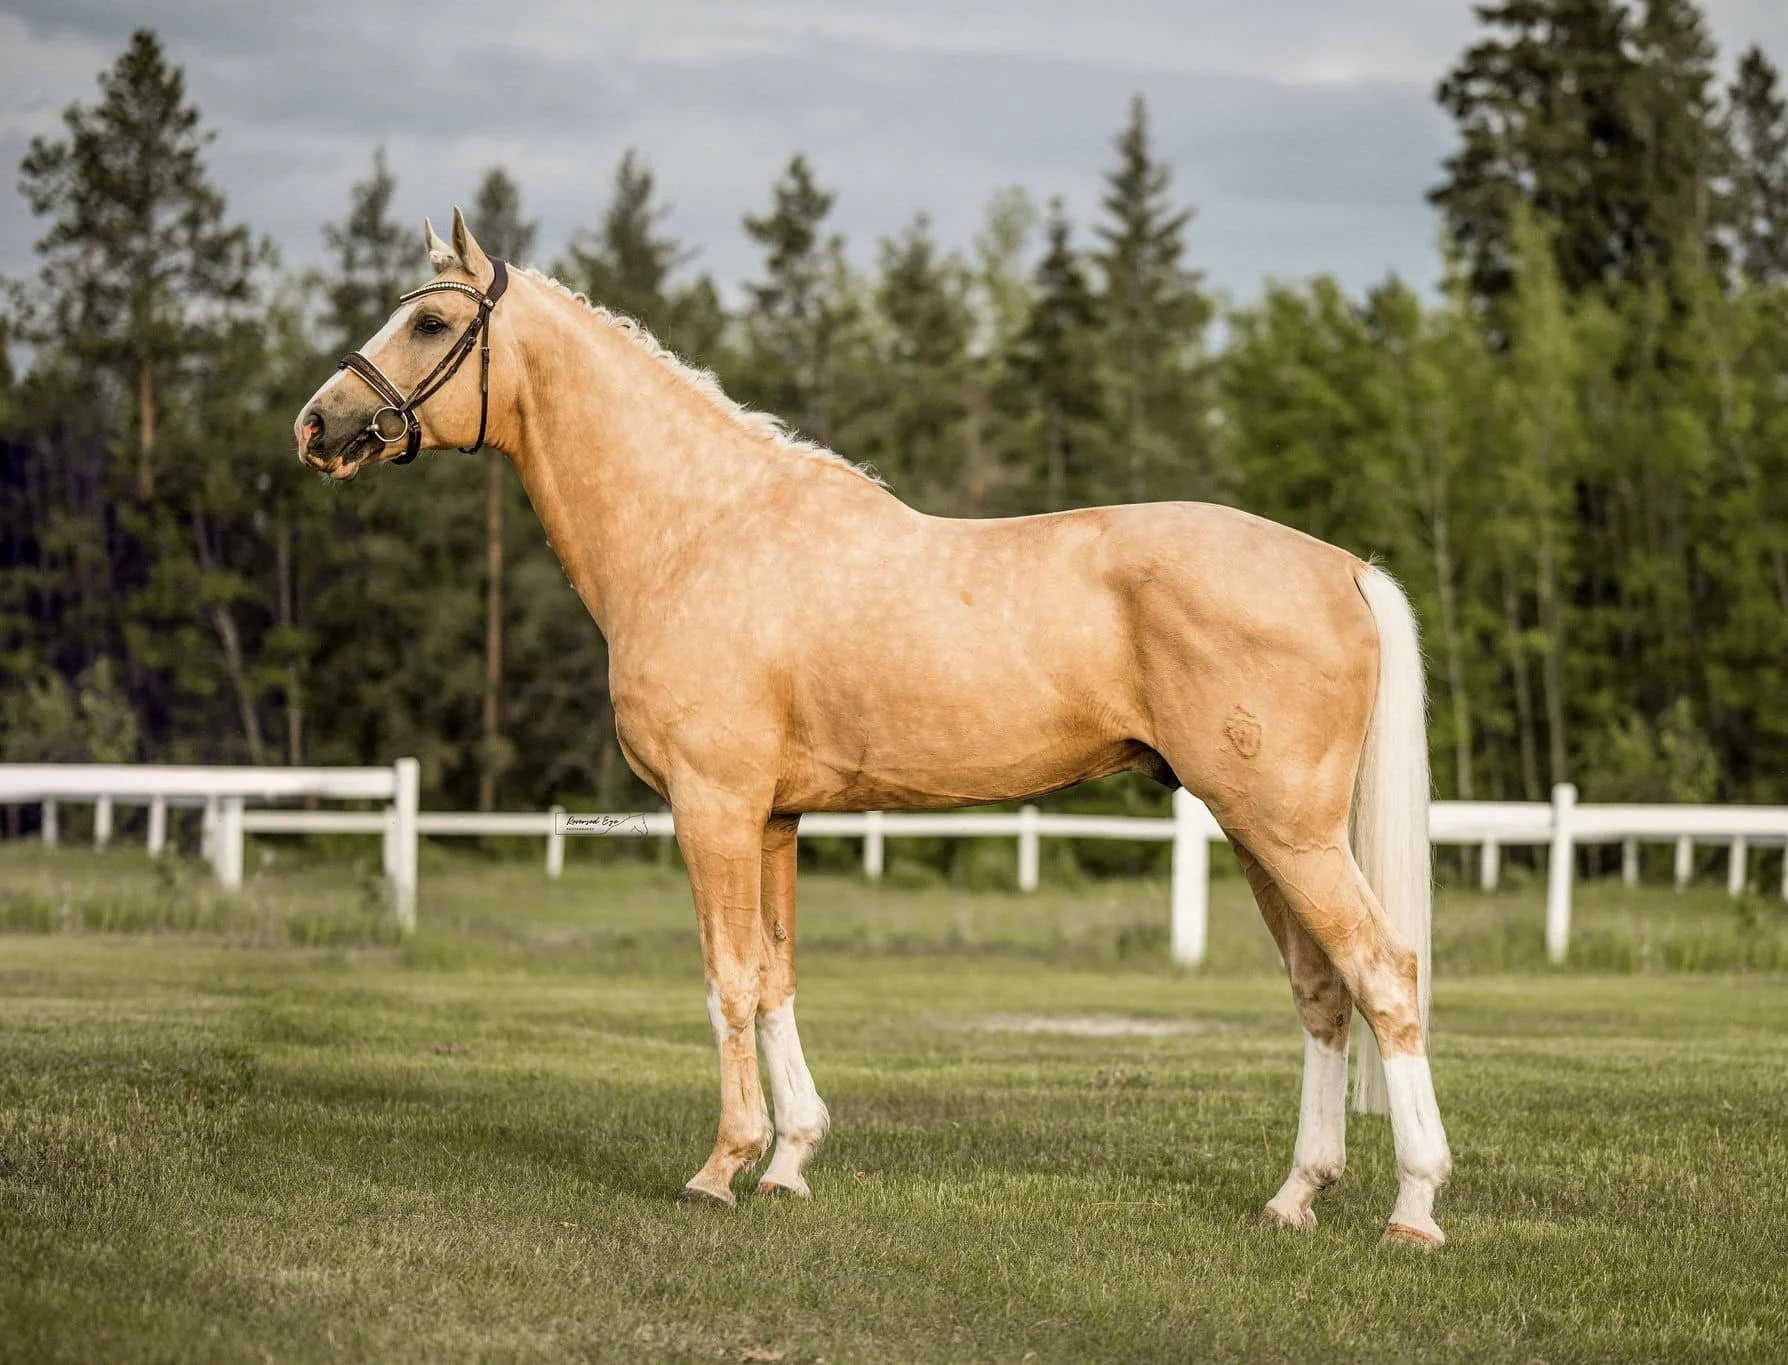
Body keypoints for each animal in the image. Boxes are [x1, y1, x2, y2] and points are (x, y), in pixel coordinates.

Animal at [295, 209, 1452, 1246]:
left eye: (432, 322)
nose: (318, 425)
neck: (698, 531)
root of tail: (1342, 568)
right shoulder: (774, 820)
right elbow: (775, 979)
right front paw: (790, 1161)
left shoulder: (713, 806)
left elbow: (725, 978)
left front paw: (720, 1170)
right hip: (1260, 832)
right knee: (1320, 990)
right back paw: (1295, 1197)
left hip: (1286, 830)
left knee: (1384, 972)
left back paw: (1414, 1209)